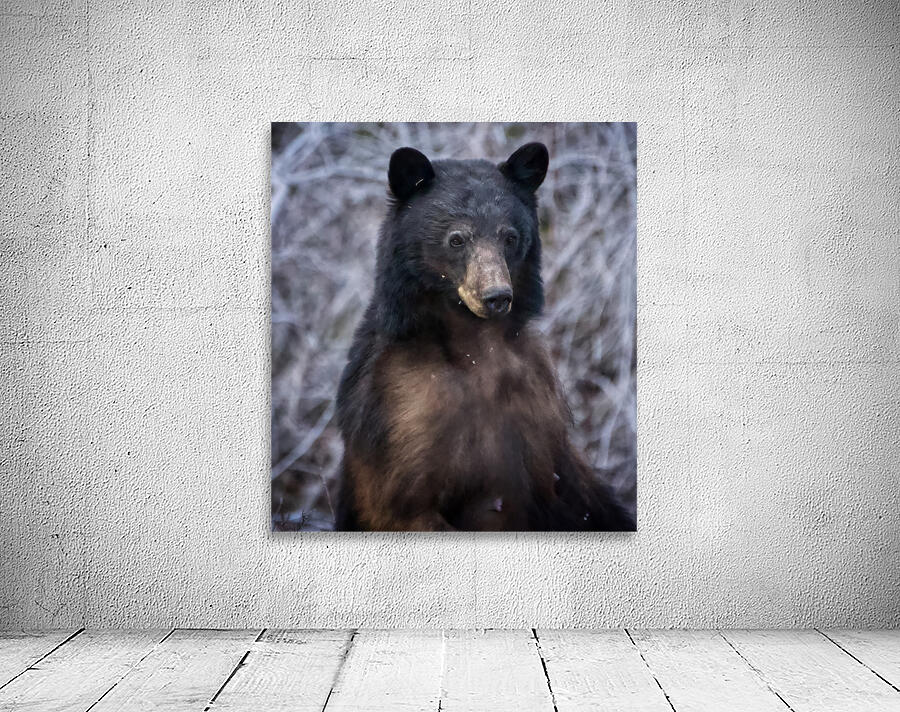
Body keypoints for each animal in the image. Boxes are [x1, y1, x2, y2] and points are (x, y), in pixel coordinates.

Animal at [334, 142, 635, 532]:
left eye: (510, 237)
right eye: (456, 239)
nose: (496, 296)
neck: (474, 345)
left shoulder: (537, 410)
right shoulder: (400, 411)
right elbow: (403, 501)